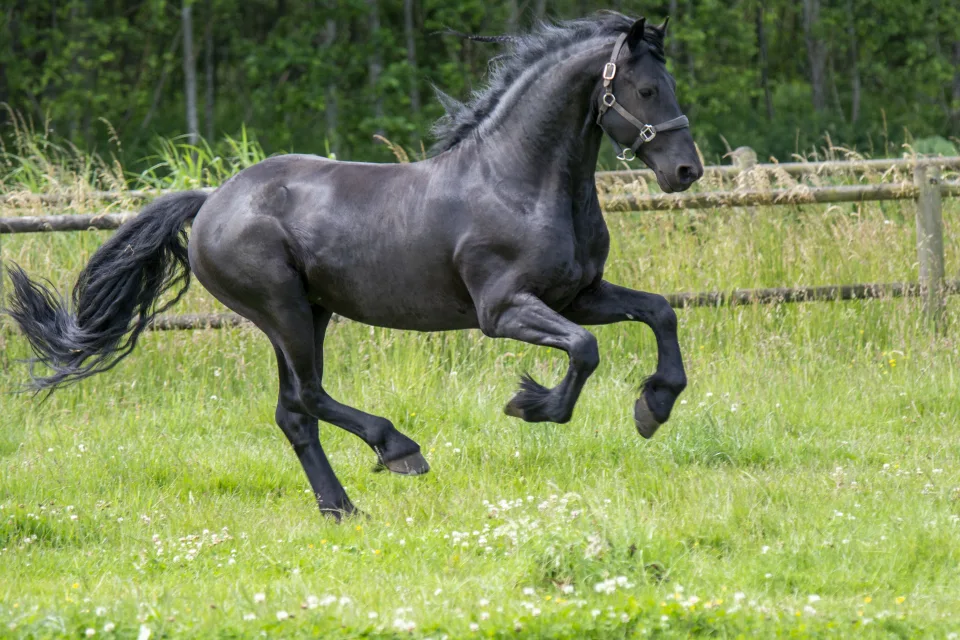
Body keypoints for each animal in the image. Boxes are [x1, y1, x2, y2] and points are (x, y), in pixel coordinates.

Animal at [5, 12, 703, 520]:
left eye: (668, 86)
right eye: (645, 89)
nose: (685, 171)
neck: (518, 182)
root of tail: (212, 201)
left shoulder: (580, 293)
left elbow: (658, 313)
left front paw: (654, 407)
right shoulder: (503, 310)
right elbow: (584, 350)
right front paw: (532, 405)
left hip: (309, 313)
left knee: (293, 412)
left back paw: (341, 508)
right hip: (283, 309)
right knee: (308, 397)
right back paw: (399, 451)